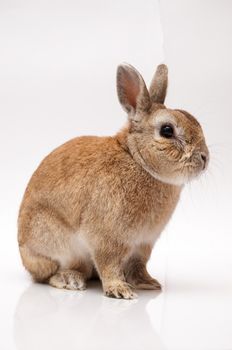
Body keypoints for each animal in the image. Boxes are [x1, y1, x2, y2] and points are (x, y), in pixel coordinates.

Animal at [17, 63, 208, 298]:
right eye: (167, 130)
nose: (205, 158)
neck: (137, 160)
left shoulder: (143, 244)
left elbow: (138, 265)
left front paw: (148, 283)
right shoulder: (107, 239)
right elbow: (109, 264)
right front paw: (120, 290)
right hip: (55, 242)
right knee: (48, 274)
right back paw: (70, 280)